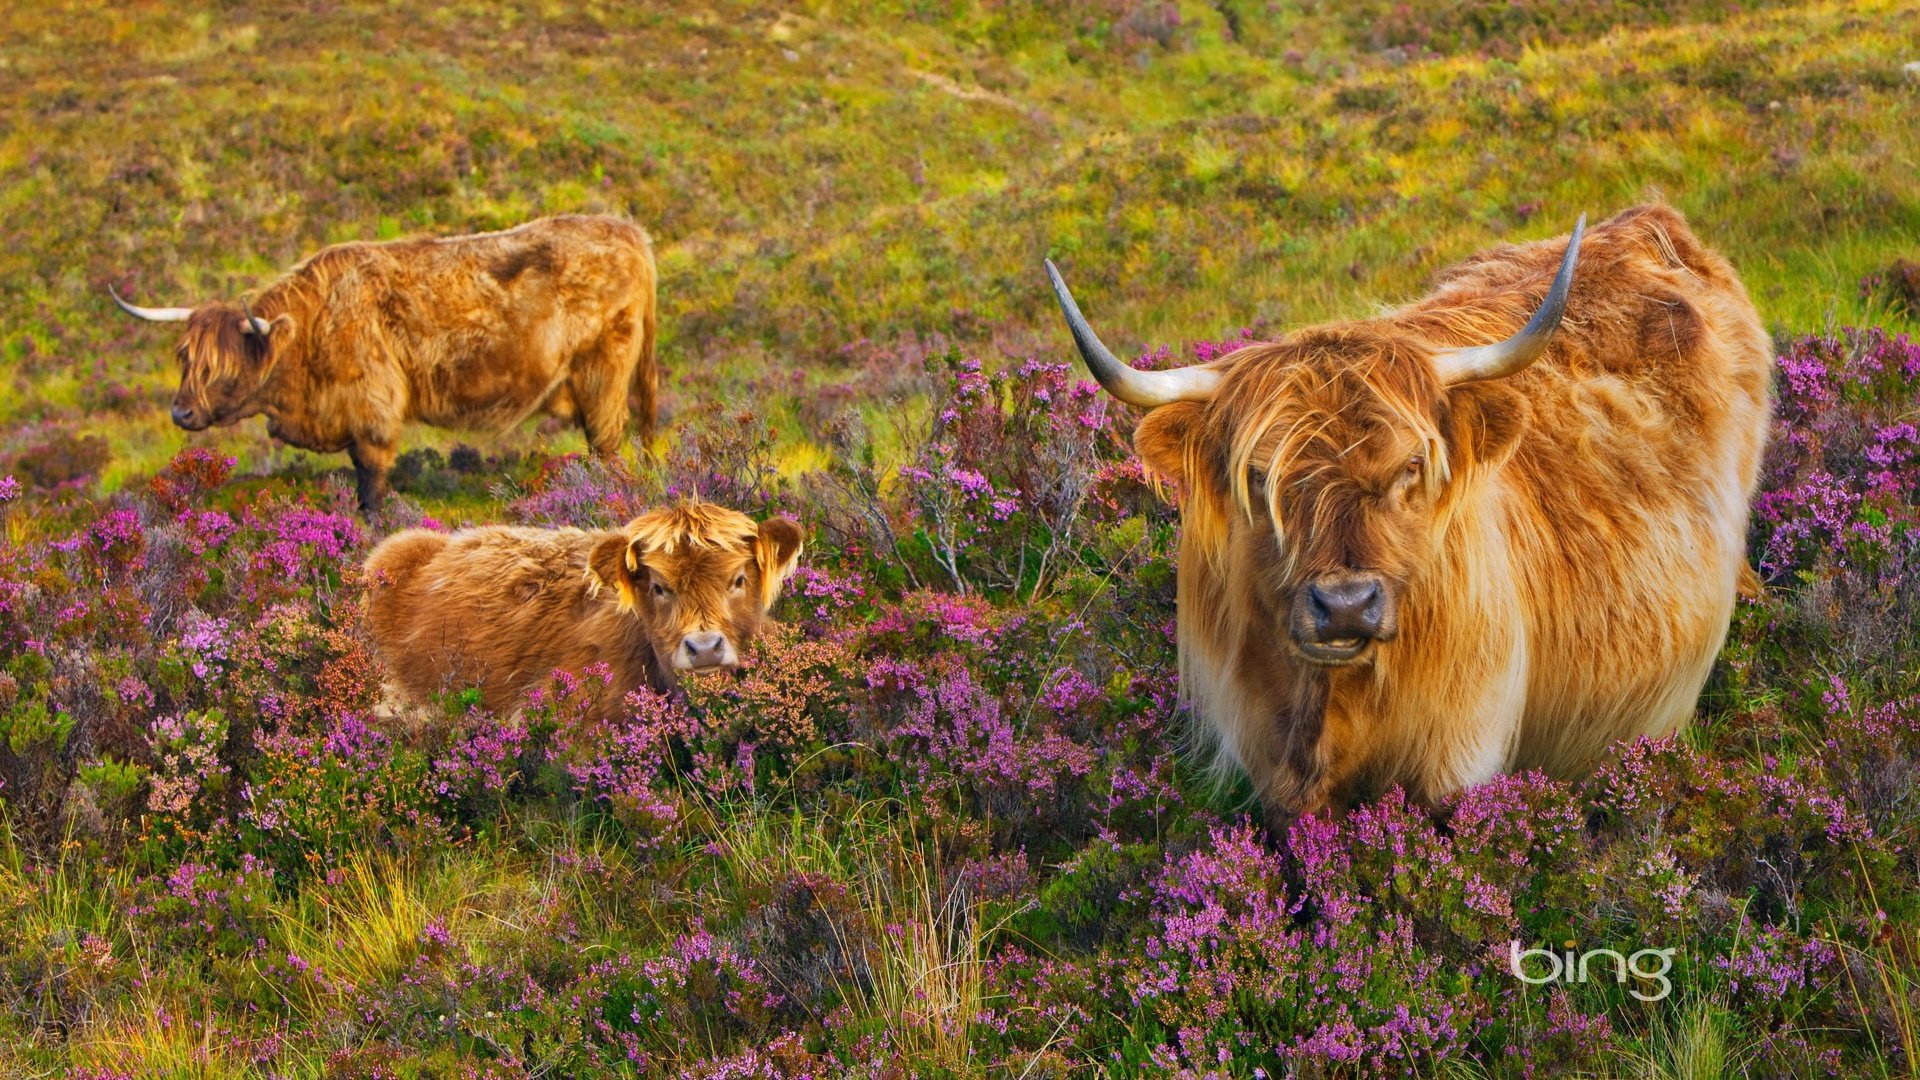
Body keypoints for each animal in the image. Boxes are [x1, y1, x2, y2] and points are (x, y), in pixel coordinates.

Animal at [1052, 205, 1766, 826]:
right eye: (1259, 477)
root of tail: (1648, 220)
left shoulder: (1458, 761)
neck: (1329, 707)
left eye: (1411, 467)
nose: (1345, 605)